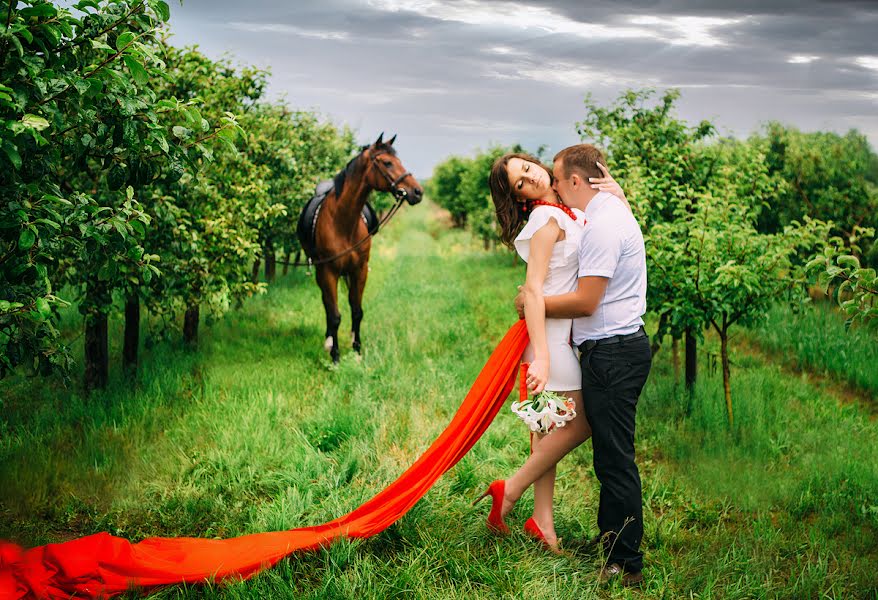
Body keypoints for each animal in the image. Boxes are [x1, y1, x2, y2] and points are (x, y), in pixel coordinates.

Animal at [306, 134, 422, 364]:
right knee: (327, 304)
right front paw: (335, 357)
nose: (417, 192)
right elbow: (335, 315)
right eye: (387, 162)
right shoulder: (329, 271)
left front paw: (357, 351)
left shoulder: (359, 270)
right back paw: (328, 342)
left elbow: (357, 311)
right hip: (320, 272)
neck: (343, 221)